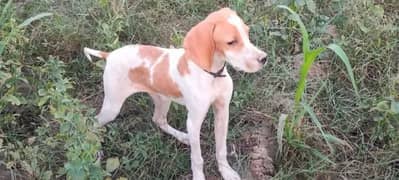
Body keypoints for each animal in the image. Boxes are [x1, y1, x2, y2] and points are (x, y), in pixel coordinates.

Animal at [83, 7, 268, 180]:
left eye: (247, 33)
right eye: (231, 42)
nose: (264, 58)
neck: (211, 74)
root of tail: (109, 55)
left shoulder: (222, 111)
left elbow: (221, 149)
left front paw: (226, 171)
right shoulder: (193, 122)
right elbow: (197, 158)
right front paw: (199, 176)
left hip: (163, 99)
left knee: (158, 119)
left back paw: (183, 137)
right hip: (112, 106)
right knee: (91, 125)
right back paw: (95, 156)